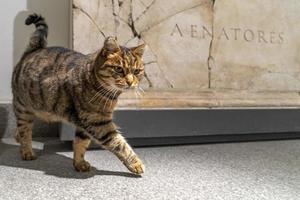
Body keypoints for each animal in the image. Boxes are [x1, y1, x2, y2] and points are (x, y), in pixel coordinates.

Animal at [12, 14, 146, 174]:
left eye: (137, 71)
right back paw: (26, 151)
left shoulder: (86, 124)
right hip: (23, 108)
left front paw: (79, 163)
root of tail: (34, 49)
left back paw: (18, 140)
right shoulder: (98, 122)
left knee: (19, 129)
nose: (131, 82)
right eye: (119, 69)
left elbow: (81, 143)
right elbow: (120, 144)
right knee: (24, 130)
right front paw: (136, 163)